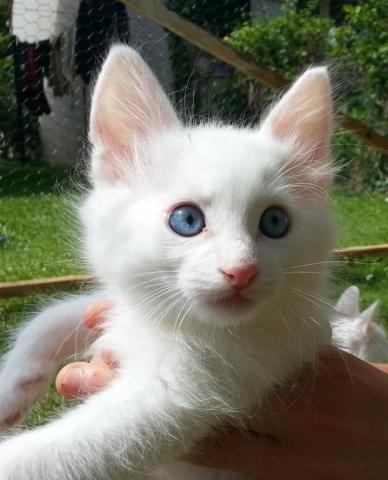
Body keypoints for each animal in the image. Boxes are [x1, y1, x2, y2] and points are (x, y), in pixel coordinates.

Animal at [0, 46, 334, 480]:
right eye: (187, 220)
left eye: (275, 223)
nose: (242, 270)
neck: (183, 327)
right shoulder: (135, 301)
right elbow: (51, 317)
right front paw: (12, 384)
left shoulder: (174, 400)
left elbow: (48, 456)